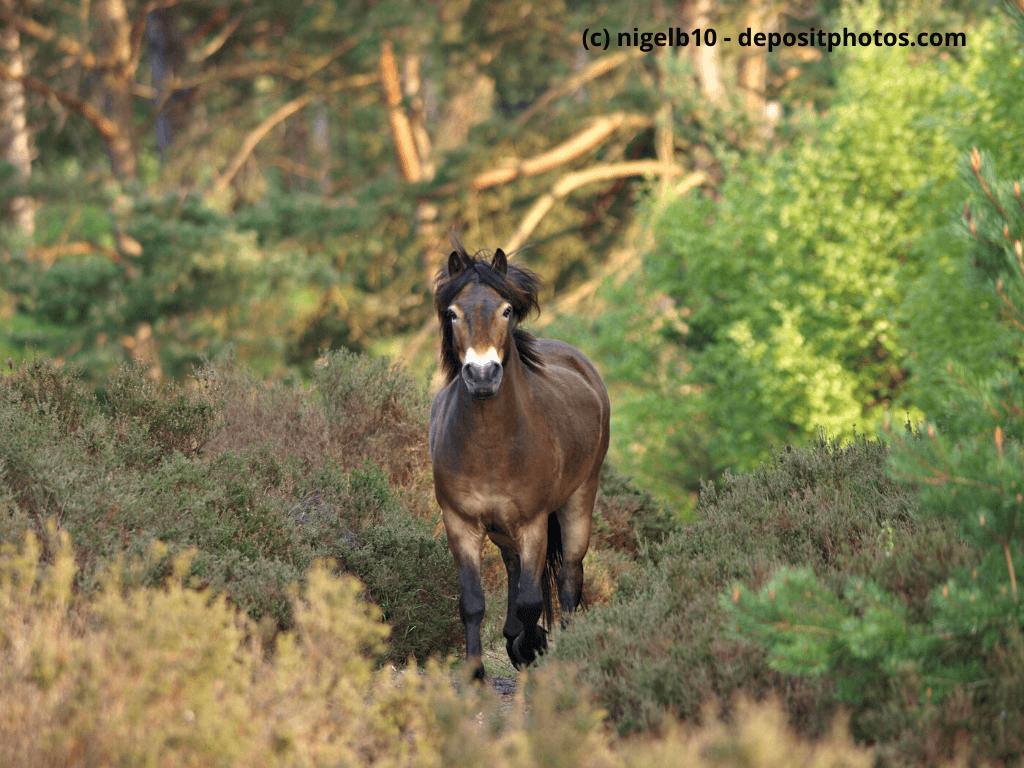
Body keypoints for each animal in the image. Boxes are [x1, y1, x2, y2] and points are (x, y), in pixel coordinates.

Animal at [429, 234, 610, 680]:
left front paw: (532, 647)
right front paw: (476, 673)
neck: (490, 446)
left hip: (578, 500)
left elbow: (532, 601)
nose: (482, 375)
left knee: (569, 576)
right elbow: (472, 602)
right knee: (514, 568)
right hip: (501, 528)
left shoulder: (533, 524)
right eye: (453, 313)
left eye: (506, 309)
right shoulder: (460, 524)